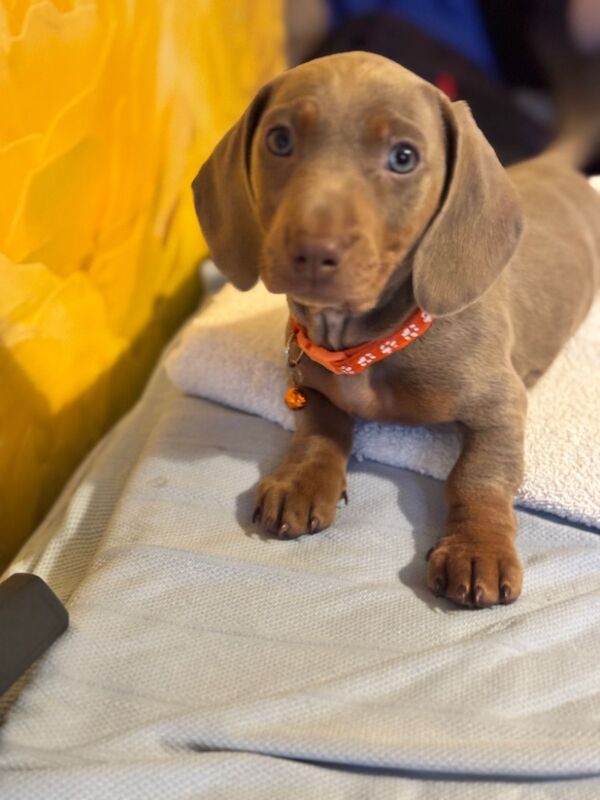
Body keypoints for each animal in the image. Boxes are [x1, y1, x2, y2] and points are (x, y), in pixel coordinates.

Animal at [192, 53, 600, 608]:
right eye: (279, 139)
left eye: (404, 157)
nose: (312, 252)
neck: (366, 345)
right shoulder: (311, 386)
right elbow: (321, 429)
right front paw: (303, 480)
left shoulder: (502, 404)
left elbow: (479, 475)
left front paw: (478, 547)